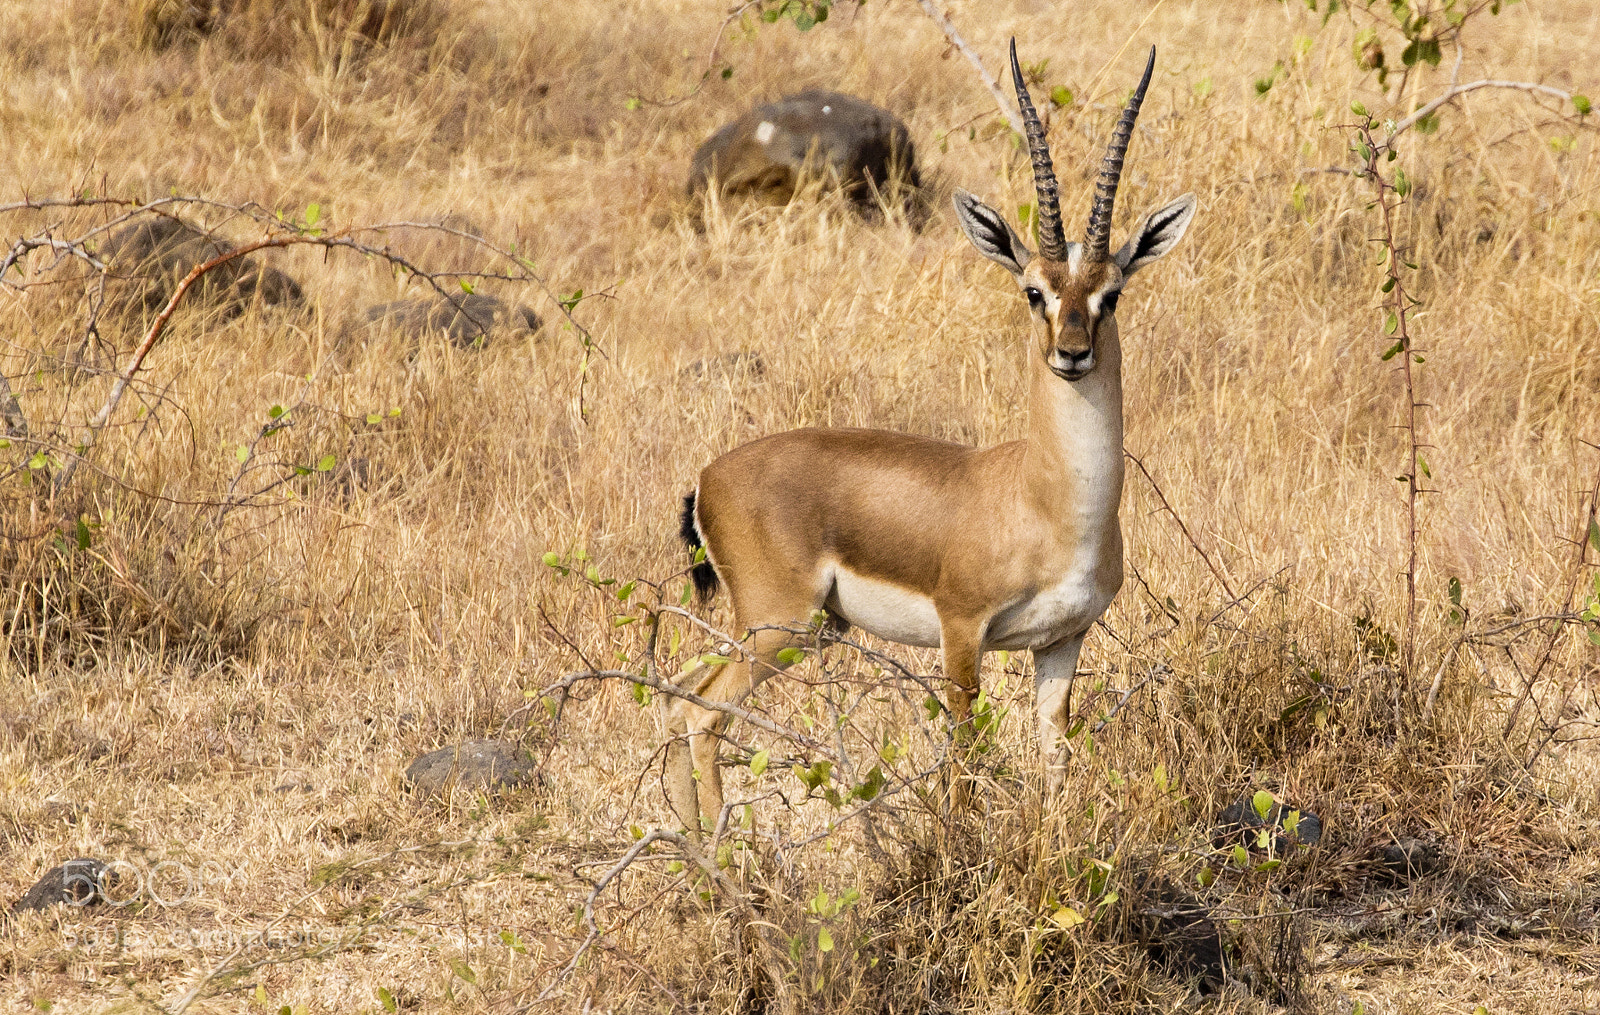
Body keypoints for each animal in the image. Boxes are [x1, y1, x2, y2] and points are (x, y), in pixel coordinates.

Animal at [666, 41, 1196, 836]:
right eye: (1034, 291)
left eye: (1112, 293)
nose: (1072, 353)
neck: (1050, 502)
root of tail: (707, 477)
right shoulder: (962, 629)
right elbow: (964, 754)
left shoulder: (1062, 641)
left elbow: (1055, 755)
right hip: (777, 624)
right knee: (699, 709)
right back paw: (725, 855)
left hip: (810, 630)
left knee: (679, 695)